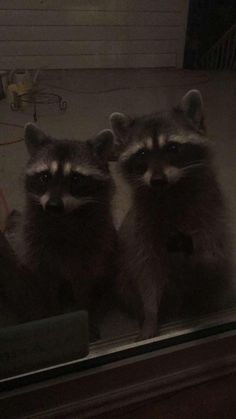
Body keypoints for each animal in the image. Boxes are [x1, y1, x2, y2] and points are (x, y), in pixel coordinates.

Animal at [10, 124, 117, 338]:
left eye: (76, 178)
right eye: (45, 176)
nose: (53, 206)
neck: (63, 218)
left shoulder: (91, 251)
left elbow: (84, 289)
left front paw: (87, 316)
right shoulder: (37, 250)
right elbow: (48, 288)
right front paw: (53, 315)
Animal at [110, 90, 232, 340]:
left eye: (173, 148)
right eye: (142, 153)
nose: (157, 180)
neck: (169, 191)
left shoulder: (210, 210)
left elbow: (212, 252)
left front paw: (202, 258)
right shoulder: (143, 229)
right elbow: (148, 274)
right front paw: (150, 315)